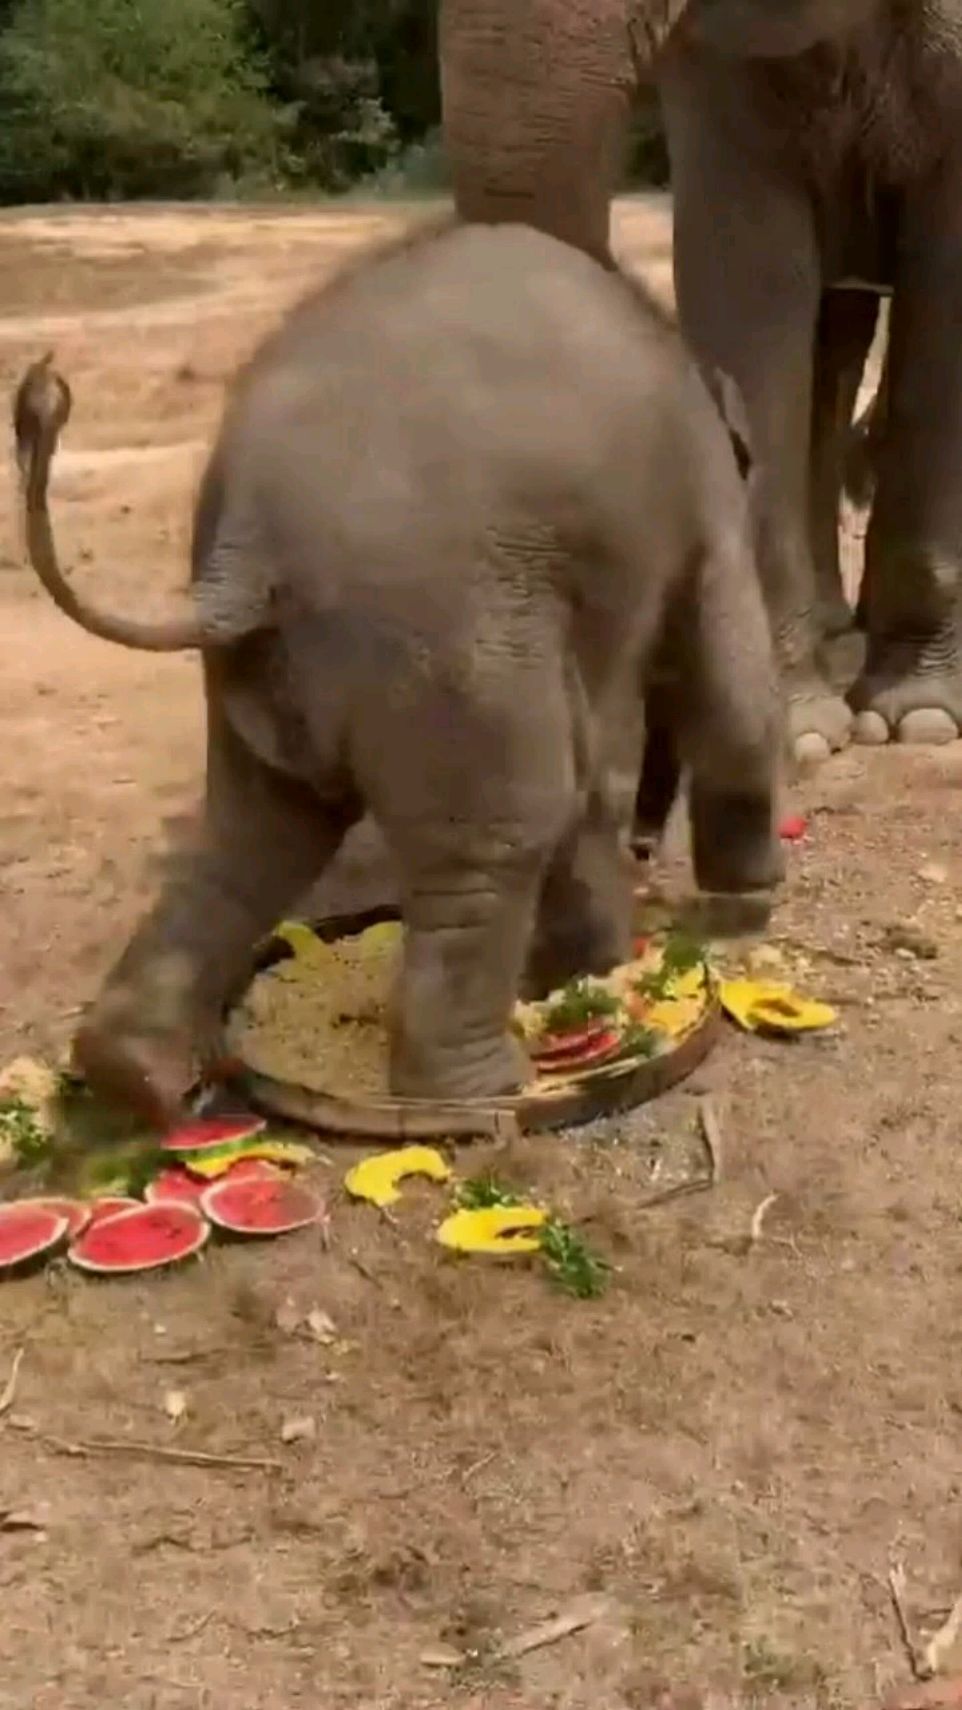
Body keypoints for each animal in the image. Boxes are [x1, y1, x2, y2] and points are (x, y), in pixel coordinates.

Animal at [15, 219, 781, 1128]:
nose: (646, 847)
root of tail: (247, 556)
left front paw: (582, 968)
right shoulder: (701, 501)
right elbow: (731, 679)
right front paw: (741, 904)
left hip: (280, 666)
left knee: (256, 833)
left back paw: (132, 1074)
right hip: (441, 638)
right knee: (498, 832)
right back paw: (483, 1091)